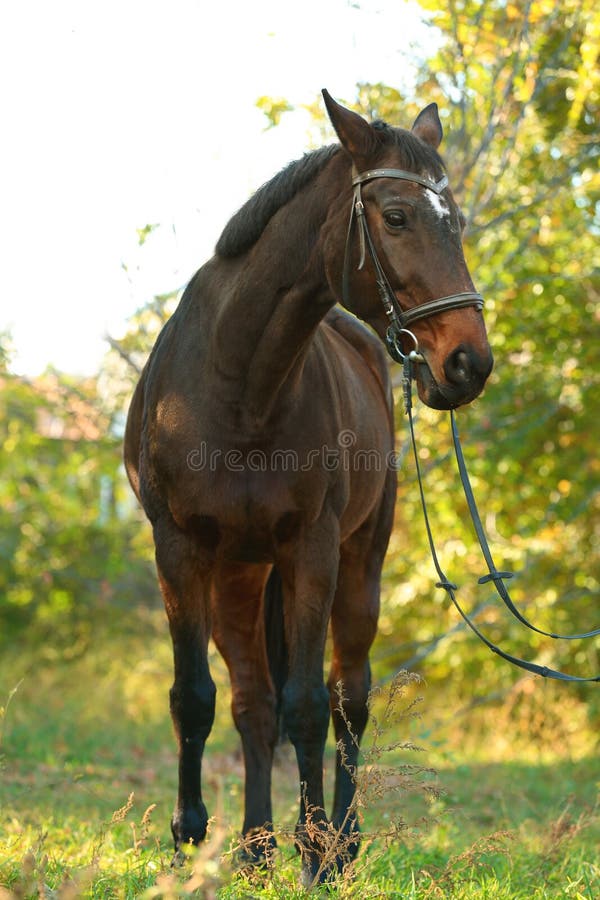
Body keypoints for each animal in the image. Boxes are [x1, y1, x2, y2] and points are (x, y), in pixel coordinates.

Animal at [124, 90, 493, 884]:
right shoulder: (179, 550)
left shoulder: (312, 551)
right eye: (396, 217)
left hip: (358, 563)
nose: (468, 364)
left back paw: (342, 842)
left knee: (347, 696)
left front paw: (317, 850)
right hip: (238, 576)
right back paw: (256, 847)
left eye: (457, 220)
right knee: (251, 702)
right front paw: (190, 832)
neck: (237, 386)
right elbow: (197, 697)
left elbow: (310, 706)